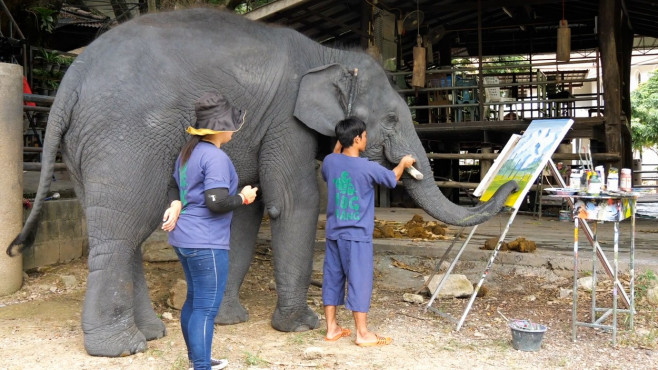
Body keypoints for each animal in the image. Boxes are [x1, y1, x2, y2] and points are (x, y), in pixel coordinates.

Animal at [7, 7, 516, 356]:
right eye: (391, 119)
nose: (509, 183)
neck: (329, 55)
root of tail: (70, 80)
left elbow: (246, 210)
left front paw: (227, 321)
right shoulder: (285, 121)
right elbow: (293, 202)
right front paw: (302, 326)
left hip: (86, 147)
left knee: (125, 226)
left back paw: (150, 334)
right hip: (124, 136)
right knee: (124, 226)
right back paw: (122, 348)